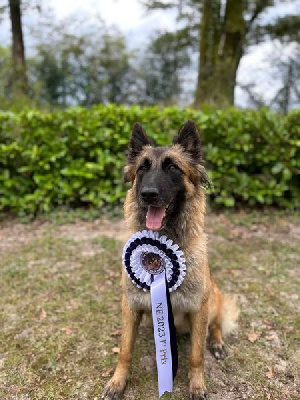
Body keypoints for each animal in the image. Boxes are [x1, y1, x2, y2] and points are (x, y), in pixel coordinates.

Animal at [102, 120, 240, 398]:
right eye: (142, 168)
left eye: (173, 168)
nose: (148, 194)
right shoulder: (131, 306)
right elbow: (125, 351)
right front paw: (118, 381)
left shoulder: (199, 309)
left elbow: (197, 355)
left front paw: (197, 385)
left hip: (214, 298)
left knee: (216, 325)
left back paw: (217, 343)